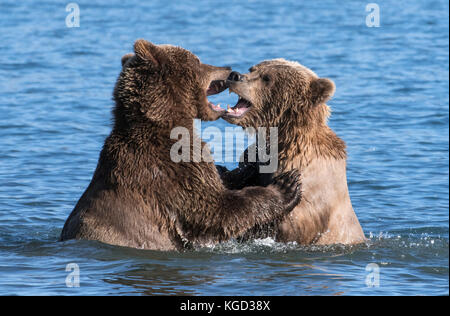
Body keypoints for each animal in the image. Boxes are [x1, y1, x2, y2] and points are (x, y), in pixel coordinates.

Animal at [59, 41, 300, 249]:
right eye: (197, 59)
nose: (229, 69)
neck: (168, 122)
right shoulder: (169, 169)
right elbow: (213, 210)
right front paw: (286, 186)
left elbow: (218, 181)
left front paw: (252, 165)